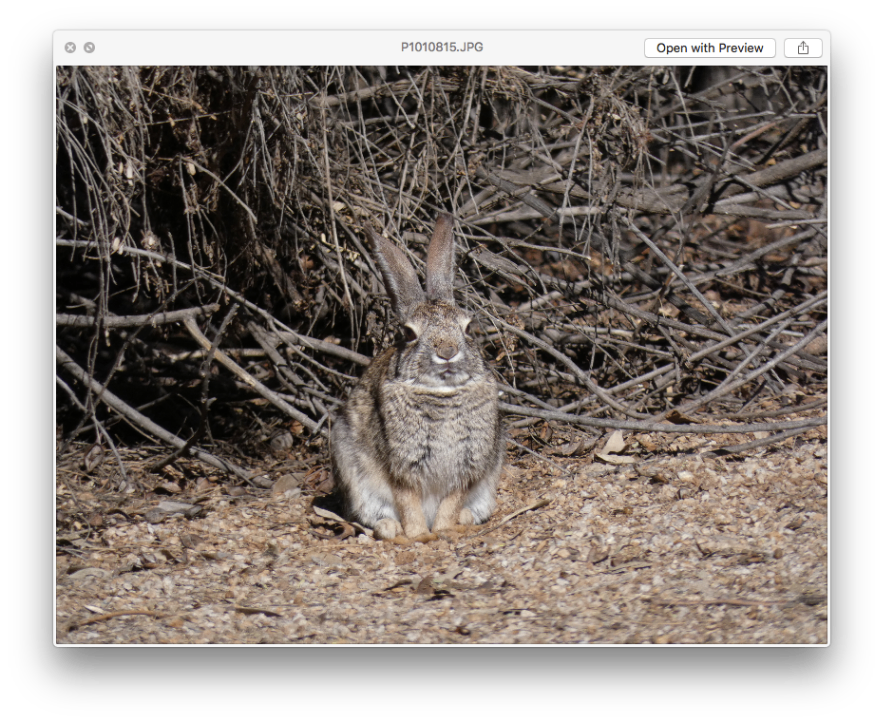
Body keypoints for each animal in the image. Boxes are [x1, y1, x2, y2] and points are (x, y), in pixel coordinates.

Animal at [331, 212, 505, 540]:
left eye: (468, 327)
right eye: (410, 334)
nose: (448, 351)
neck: (443, 392)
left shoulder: (467, 465)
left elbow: (451, 501)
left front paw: (444, 530)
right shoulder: (401, 464)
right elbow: (407, 501)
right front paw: (419, 535)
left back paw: (464, 520)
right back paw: (391, 528)